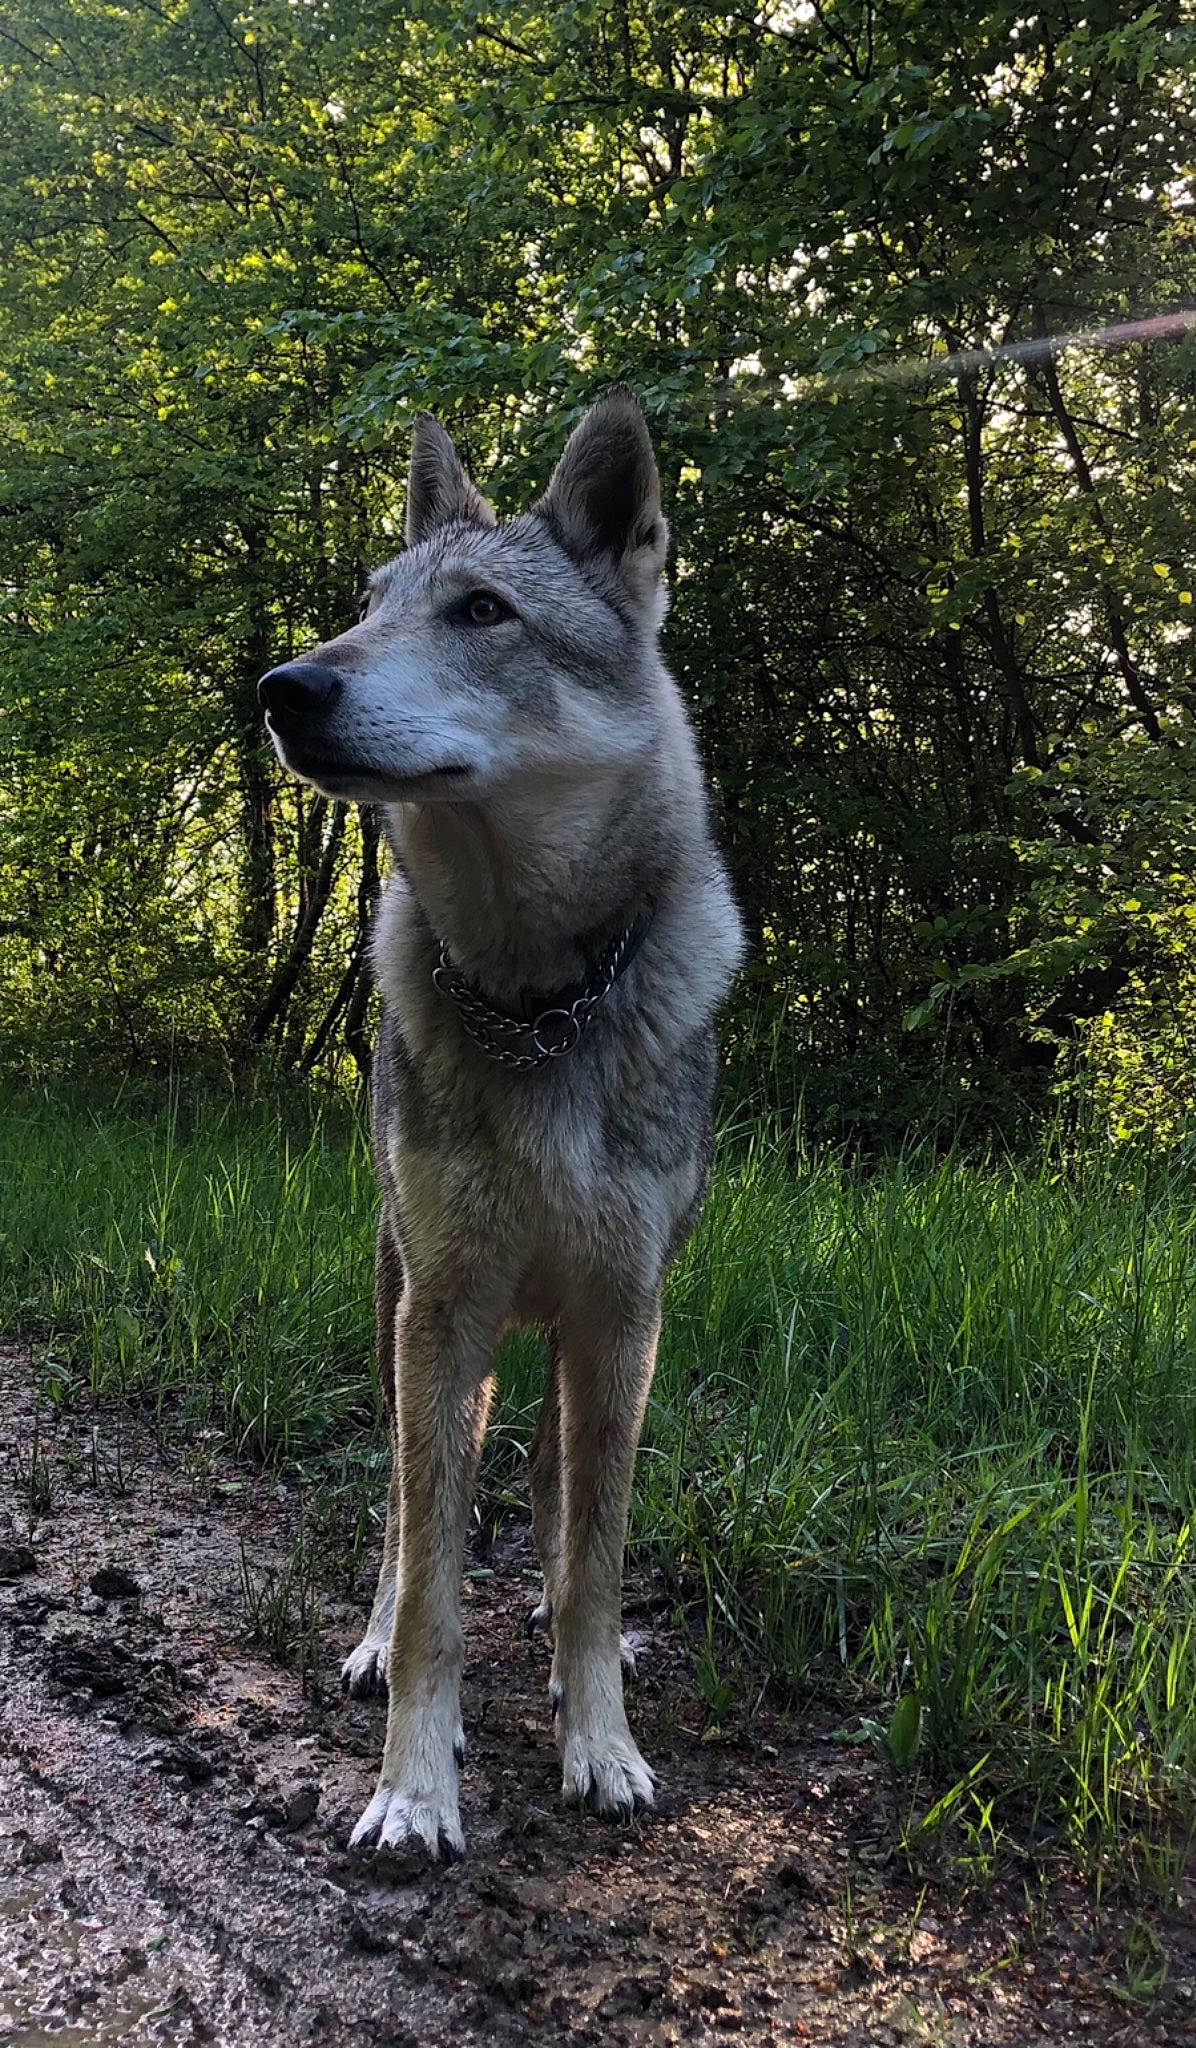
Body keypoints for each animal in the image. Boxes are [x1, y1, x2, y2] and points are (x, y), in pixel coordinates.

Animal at [258, 389, 743, 1860]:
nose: (285, 687)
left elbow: (591, 1554)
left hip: (575, 1335)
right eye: (365, 607)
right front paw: (415, 1787)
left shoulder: (624, 1318)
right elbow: (430, 1580)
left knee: (551, 1502)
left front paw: (602, 1740)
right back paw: (375, 1642)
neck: (539, 1000)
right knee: (404, 1516)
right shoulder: (446, 1312)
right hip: (400, 1302)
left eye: (481, 612)